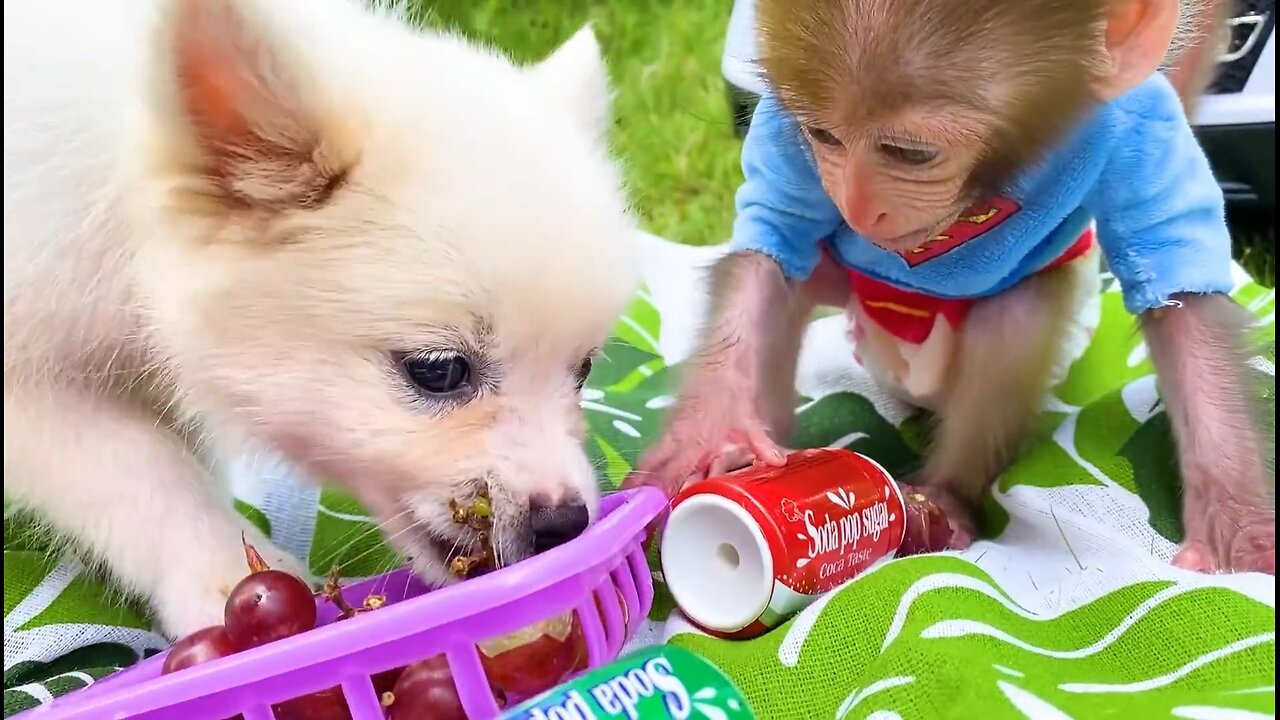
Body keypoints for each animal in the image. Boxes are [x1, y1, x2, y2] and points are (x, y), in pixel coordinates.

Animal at [634, 0, 1274, 571]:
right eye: (821, 136)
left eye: (910, 154)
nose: (860, 208)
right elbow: (771, 242)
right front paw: (706, 434)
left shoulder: (1138, 124)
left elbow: (1179, 291)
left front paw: (1239, 531)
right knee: (794, 286)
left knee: (1017, 314)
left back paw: (939, 501)